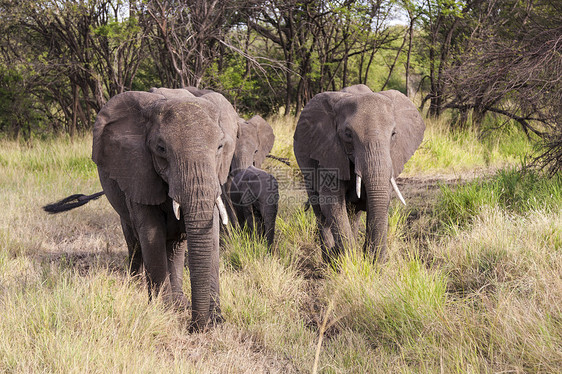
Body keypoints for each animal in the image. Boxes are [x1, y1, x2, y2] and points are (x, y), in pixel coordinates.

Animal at [43, 87, 236, 330]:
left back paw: (179, 302)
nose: (194, 327)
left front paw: (215, 320)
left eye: (220, 147)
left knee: (175, 245)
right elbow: (151, 235)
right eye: (161, 149)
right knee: (134, 239)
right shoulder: (137, 171)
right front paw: (163, 312)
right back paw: (136, 287)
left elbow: (211, 234)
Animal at [294, 83, 424, 262]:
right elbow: (332, 203)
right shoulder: (329, 151)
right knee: (320, 211)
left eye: (393, 134)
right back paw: (329, 259)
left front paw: (367, 262)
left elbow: (374, 201)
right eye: (348, 134)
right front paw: (348, 260)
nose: (375, 261)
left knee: (353, 213)